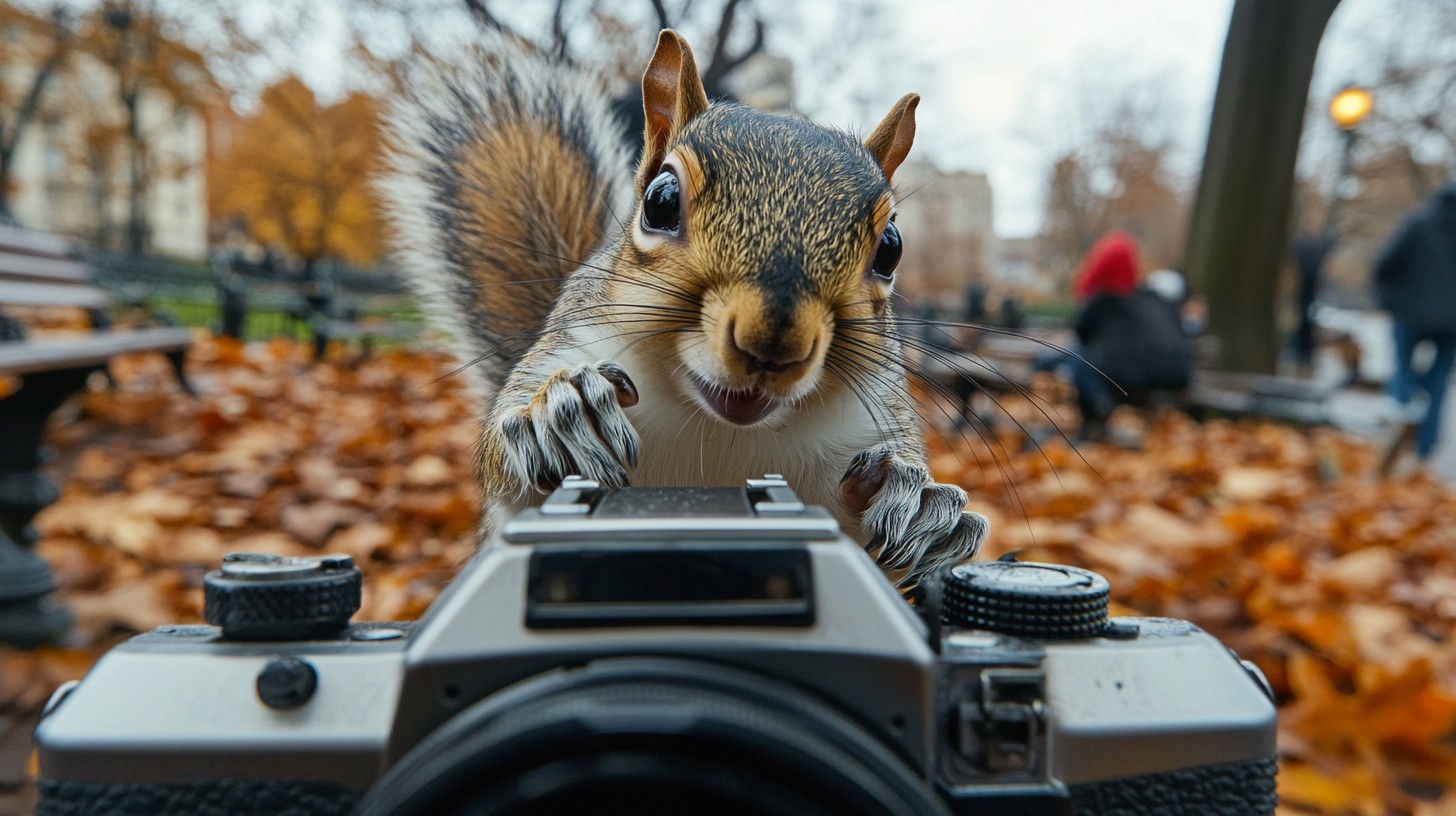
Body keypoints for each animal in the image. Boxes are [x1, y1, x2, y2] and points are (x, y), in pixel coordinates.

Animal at [382, 30, 988, 587]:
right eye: (660, 201)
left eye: (891, 248)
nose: (773, 344)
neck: (714, 430)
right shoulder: (571, 343)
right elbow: (504, 471)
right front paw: (555, 415)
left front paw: (920, 507)